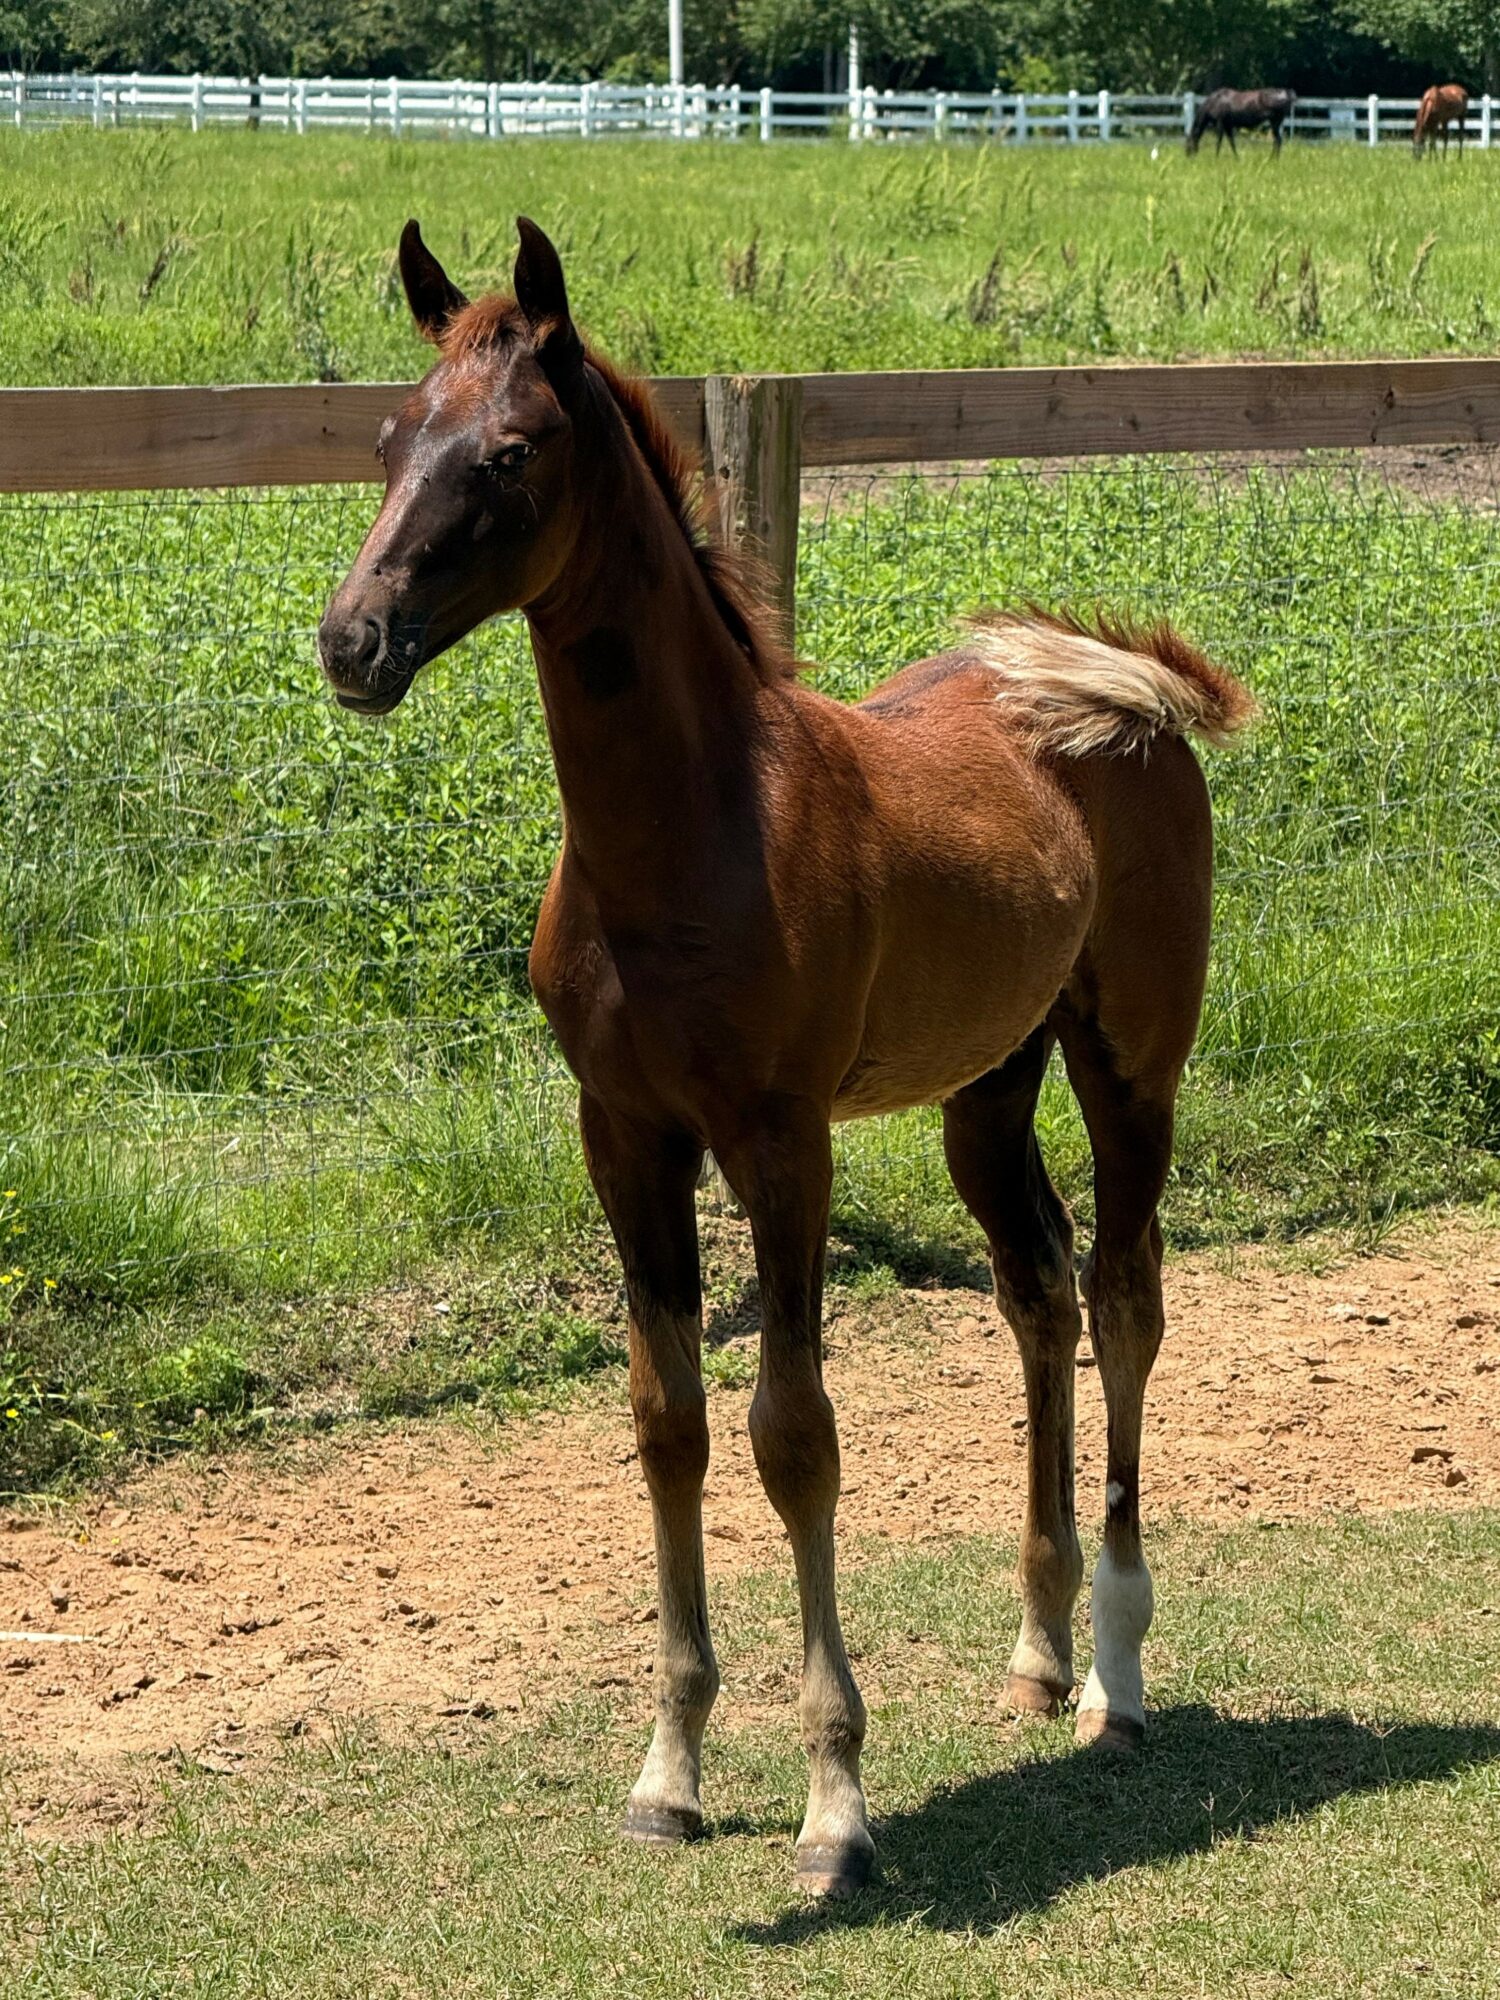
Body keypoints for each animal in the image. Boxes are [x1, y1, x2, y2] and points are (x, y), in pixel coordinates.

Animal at [318, 217, 1255, 1899]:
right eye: (384, 438)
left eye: (508, 453)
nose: (352, 642)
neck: (691, 831)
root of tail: (1112, 683)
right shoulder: (624, 1134)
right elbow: (669, 1426)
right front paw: (670, 1771)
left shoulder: (780, 1138)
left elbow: (793, 1438)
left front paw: (835, 1807)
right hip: (984, 1089)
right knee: (1040, 1293)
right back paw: (1037, 1649)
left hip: (1130, 1063)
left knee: (1128, 1302)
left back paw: (1117, 1677)